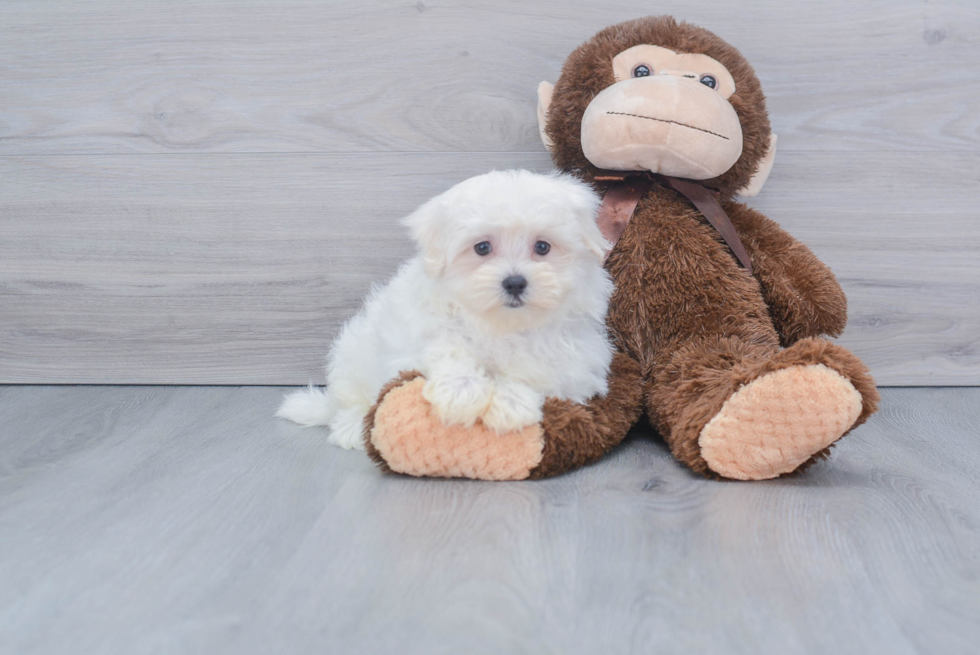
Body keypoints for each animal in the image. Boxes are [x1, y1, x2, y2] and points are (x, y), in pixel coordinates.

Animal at [276, 170, 612, 452]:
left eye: (542, 247)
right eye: (482, 248)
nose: (515, 282)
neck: (502, 326)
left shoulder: (577, 362)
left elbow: (541, 371)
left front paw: (510, 403)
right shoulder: (421, 330)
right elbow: (447, 345)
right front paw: (460, 393)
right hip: (354, 355)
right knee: (349, 402)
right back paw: (350, 427)